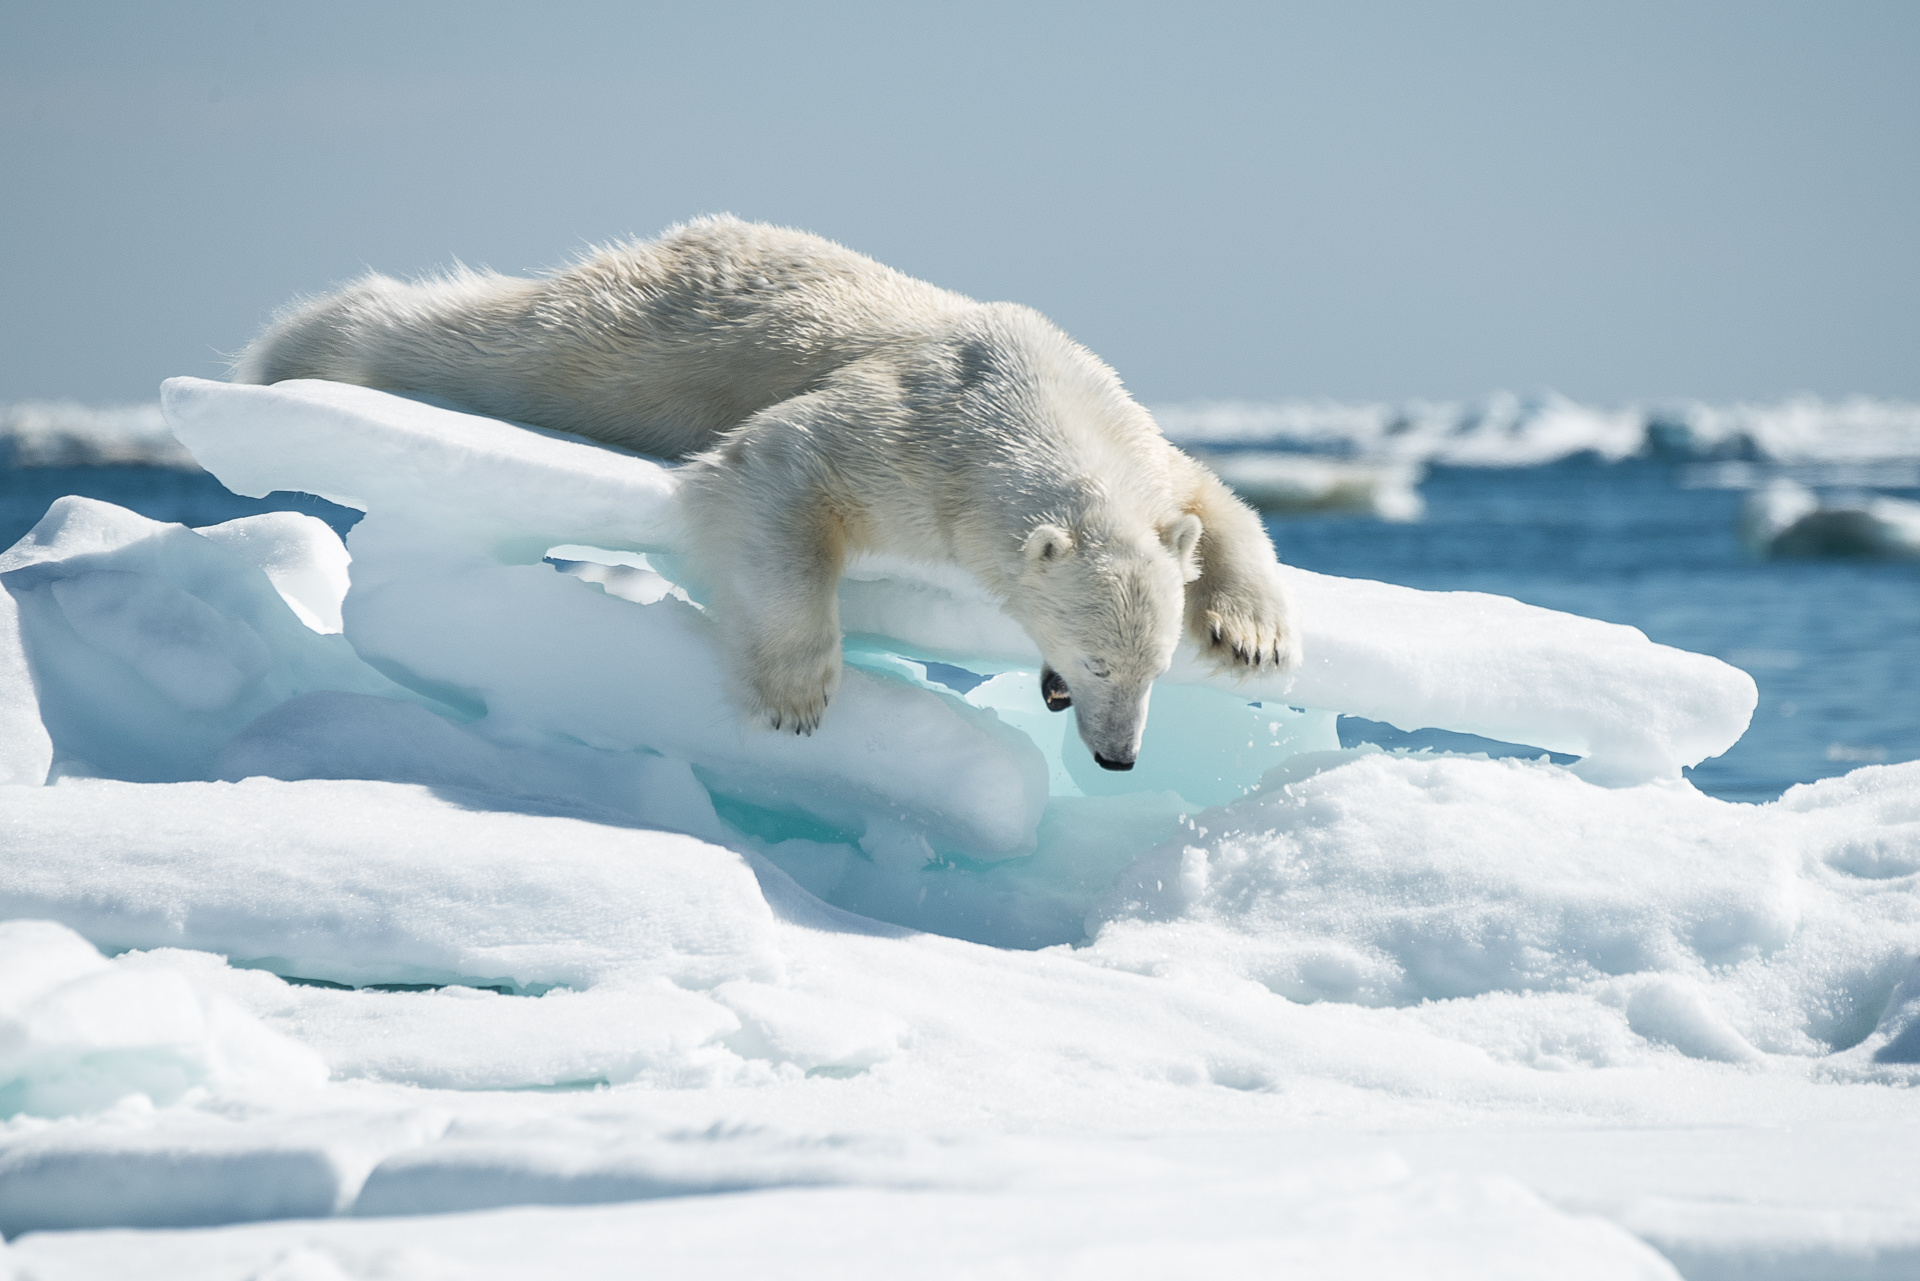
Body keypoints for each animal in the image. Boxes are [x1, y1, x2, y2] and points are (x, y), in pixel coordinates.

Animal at [232, 217, 1297, 772]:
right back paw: (298, 349)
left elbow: (1221, 498)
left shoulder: (1137, 438)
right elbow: (780, 465)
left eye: (1157, 666)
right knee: (495, 341)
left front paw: (1253, 631)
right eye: (1096, 660)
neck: (1033, 391)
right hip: (638, 341)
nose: (1118, 759)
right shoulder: (922, 439)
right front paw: (796, 694)